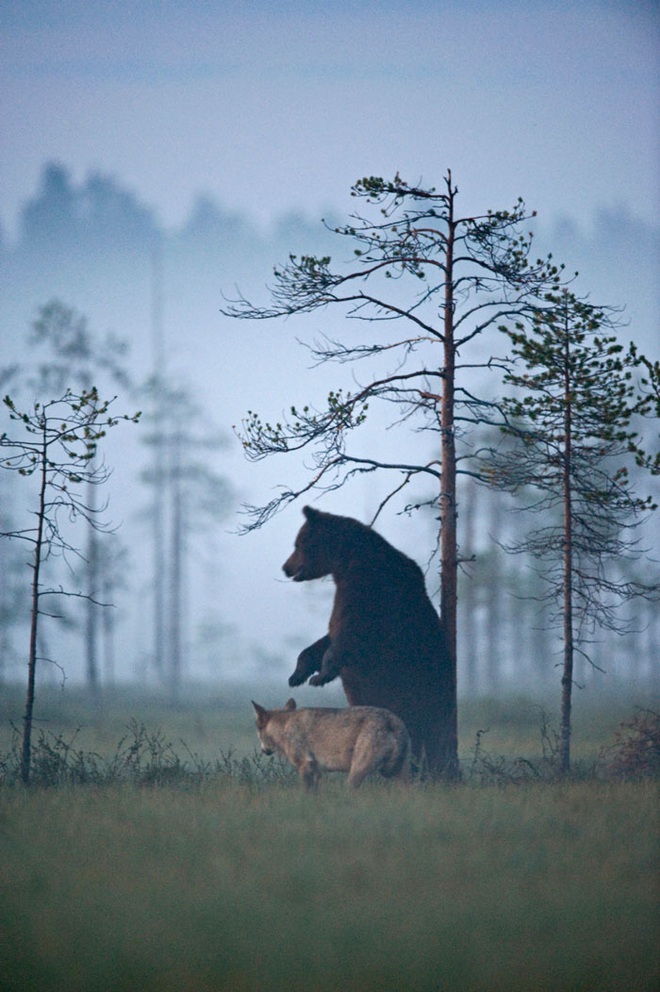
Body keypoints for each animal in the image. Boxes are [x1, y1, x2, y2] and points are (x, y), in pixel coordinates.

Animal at [284, 508, 454, 780]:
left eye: (298, 544)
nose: (286, 568)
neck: (346, 563)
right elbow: (327, 637)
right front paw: (298, 675)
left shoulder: (369, 593)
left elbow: (349, 635)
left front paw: (321, 675)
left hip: (417, 693)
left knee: (423, 731)